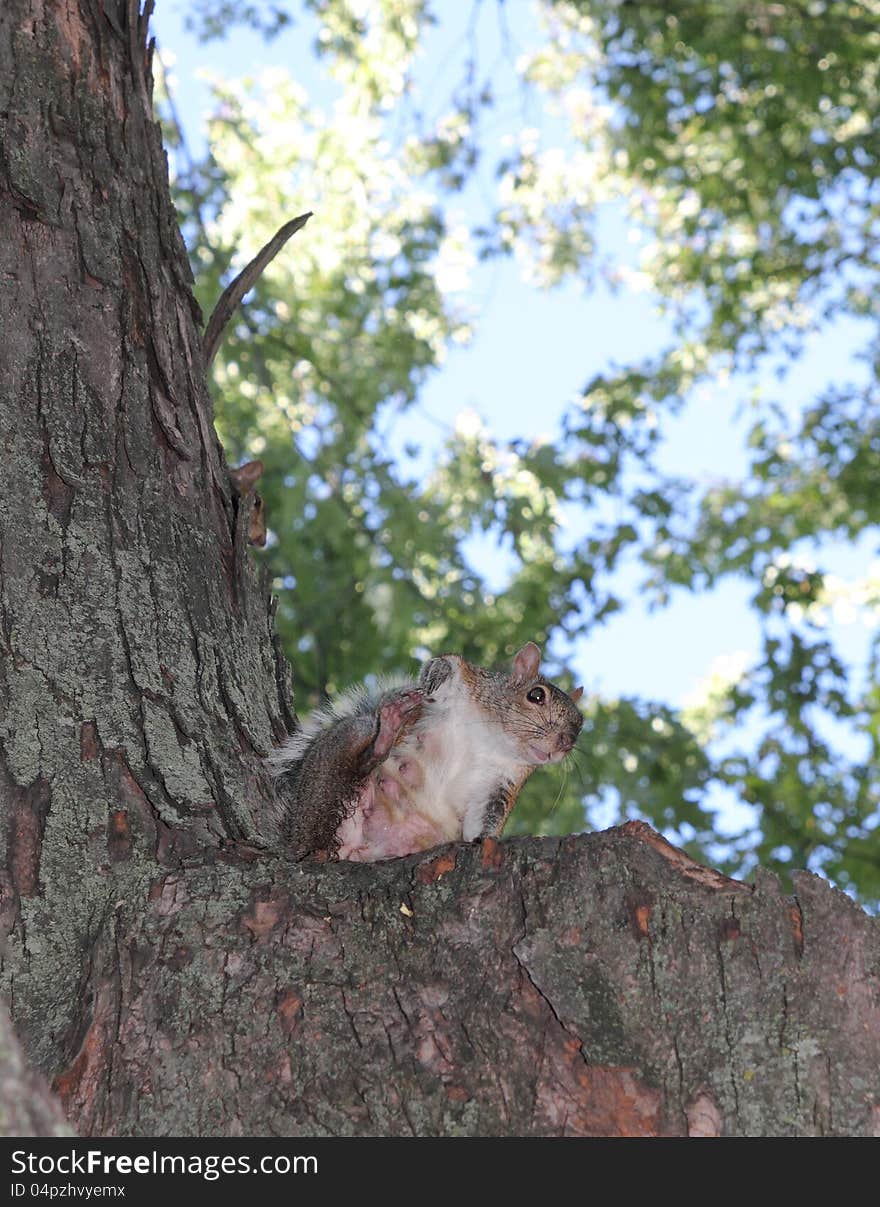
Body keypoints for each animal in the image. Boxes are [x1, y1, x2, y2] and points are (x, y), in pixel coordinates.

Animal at [267, 646, 584, 864]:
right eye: (536, 695)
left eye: (580, 724)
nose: (566, 742)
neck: (490, 740)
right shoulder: (465, 677)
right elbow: (442, 665)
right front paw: (424, 690)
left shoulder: (499, 783)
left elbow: (485, 816)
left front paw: (483, 841)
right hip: (342, 753)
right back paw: (385, 735)